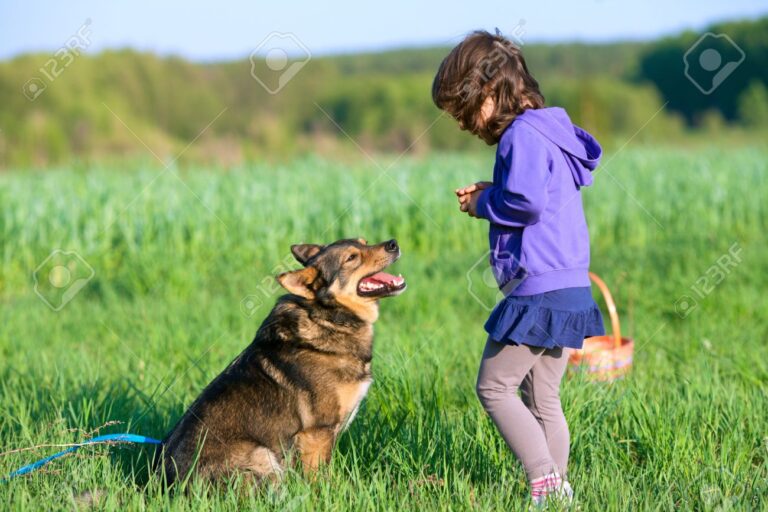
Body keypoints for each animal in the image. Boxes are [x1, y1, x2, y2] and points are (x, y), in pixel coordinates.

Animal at [157, 238, 408, 486]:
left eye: (365, 242)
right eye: (351, 258)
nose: (393, 243)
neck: (327, 319)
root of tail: (169, 485)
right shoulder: (316, 433)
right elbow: (318, 480)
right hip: (263, 454)